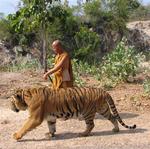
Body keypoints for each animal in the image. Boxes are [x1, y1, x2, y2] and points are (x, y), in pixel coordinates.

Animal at [9, 85, 137, 140]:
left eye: (11, 101)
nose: (10, 107)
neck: (25, 96)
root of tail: (103, 90)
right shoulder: (50, 117)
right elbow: (51, 126)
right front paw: (50, 134)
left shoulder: (34, 118)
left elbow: (25, 127)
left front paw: (16, 136)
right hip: (103, 109)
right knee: (113, 117)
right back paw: (116, 129)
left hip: (87, 112)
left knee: (91, 124)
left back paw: (83, 134)